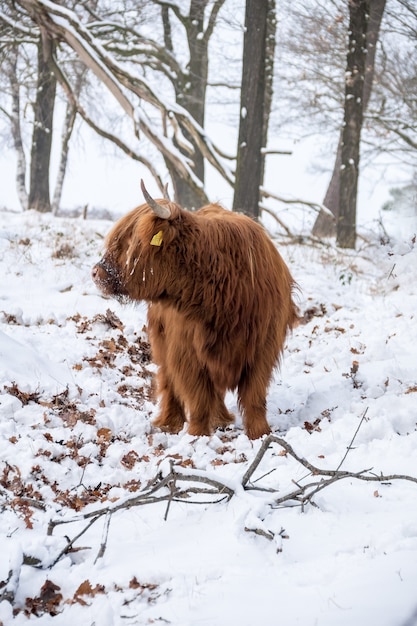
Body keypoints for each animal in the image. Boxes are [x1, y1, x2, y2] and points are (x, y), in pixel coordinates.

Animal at [92, 180, 298, 438]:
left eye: (131, 242)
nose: (96, 272)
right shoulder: (185, 349)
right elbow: (198, 396)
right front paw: (197, 435)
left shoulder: (263, 348)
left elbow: (254, 396)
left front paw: (260, 433)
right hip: (162, 338)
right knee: (169, 380)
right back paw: (171, 423)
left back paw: (221, 418)